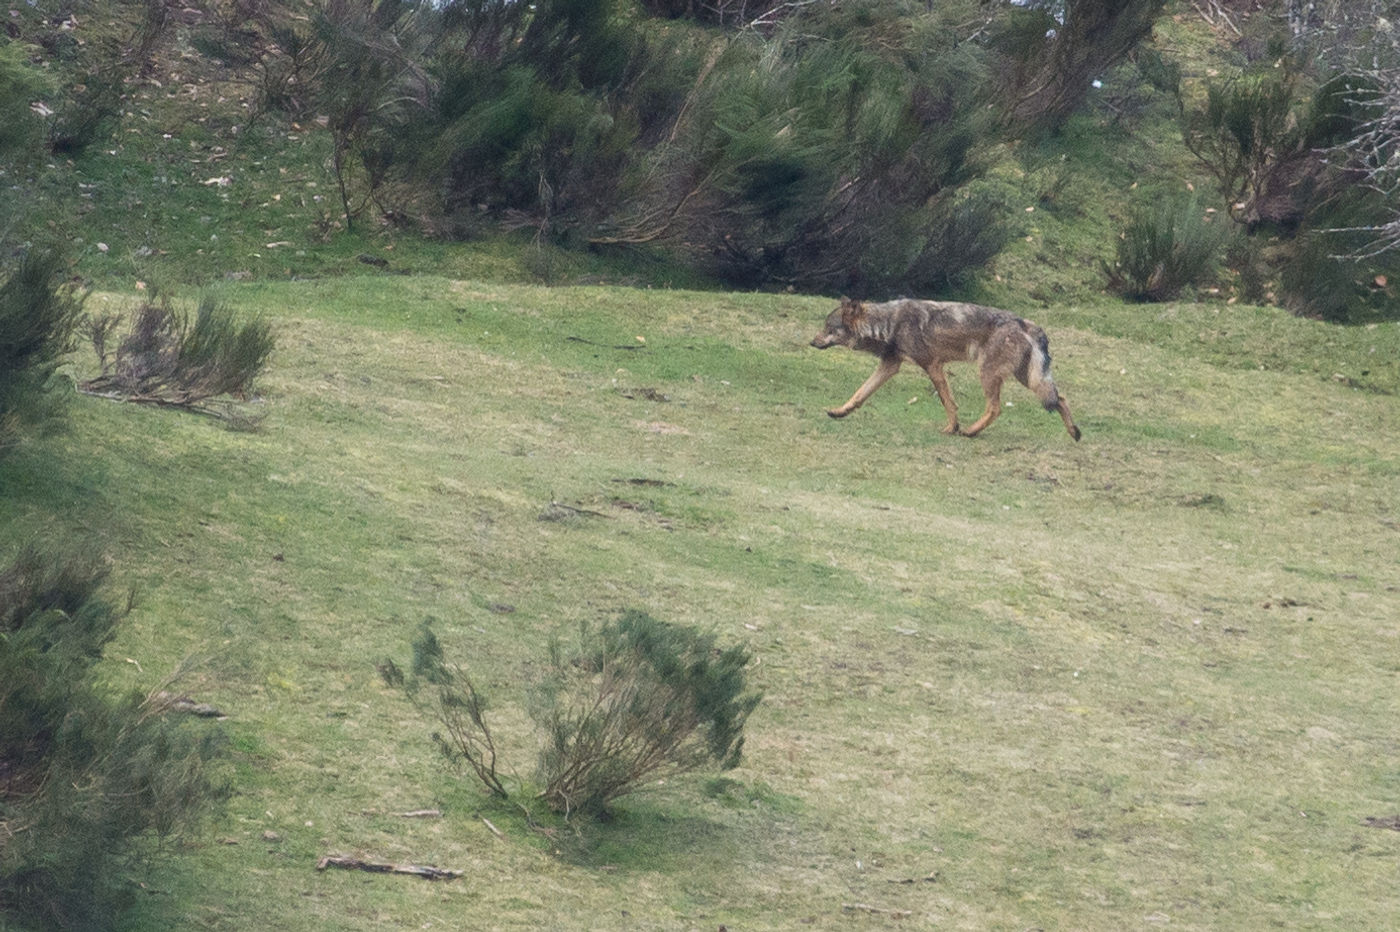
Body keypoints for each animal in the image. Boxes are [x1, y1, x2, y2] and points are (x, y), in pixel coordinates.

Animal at [812, 299, 1080, 442]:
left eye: (828, 328)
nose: (811, 342)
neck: (889, 324)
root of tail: (1027, 324)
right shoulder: (890, 365)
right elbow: (859, 394)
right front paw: (838, 412)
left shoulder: (932, 365)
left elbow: (947, 402)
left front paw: (953, 428)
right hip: (1029, 379)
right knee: (1060, 398)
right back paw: (1075, 433)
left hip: (989, 374)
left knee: (995, 409)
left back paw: (970, 432)